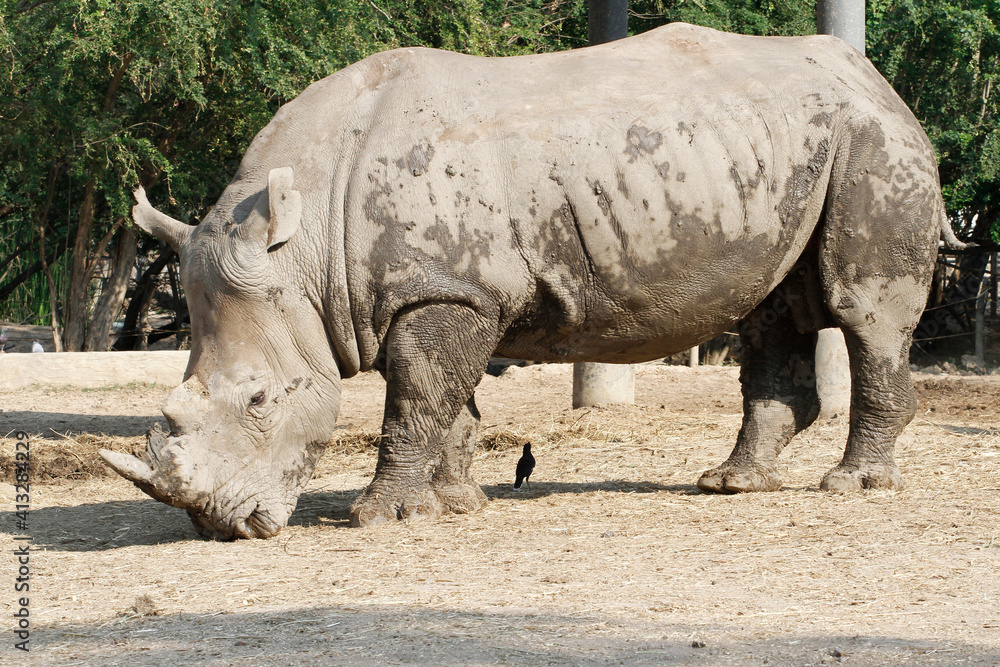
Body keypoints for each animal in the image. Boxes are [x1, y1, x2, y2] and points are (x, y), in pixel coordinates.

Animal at [100, 23, 964, 539]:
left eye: (259, 401)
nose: (221, 525)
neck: (306, 243)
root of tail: (877, 78)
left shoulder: (443, 289)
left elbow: (415, 393)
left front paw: (379, 516)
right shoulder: (457, 288)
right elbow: (448, 400)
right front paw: (454, 504)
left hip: (873, 141)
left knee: (862, 310)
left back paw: (851, 486)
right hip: (789, 148)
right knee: (771, 312)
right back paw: (730, 484)